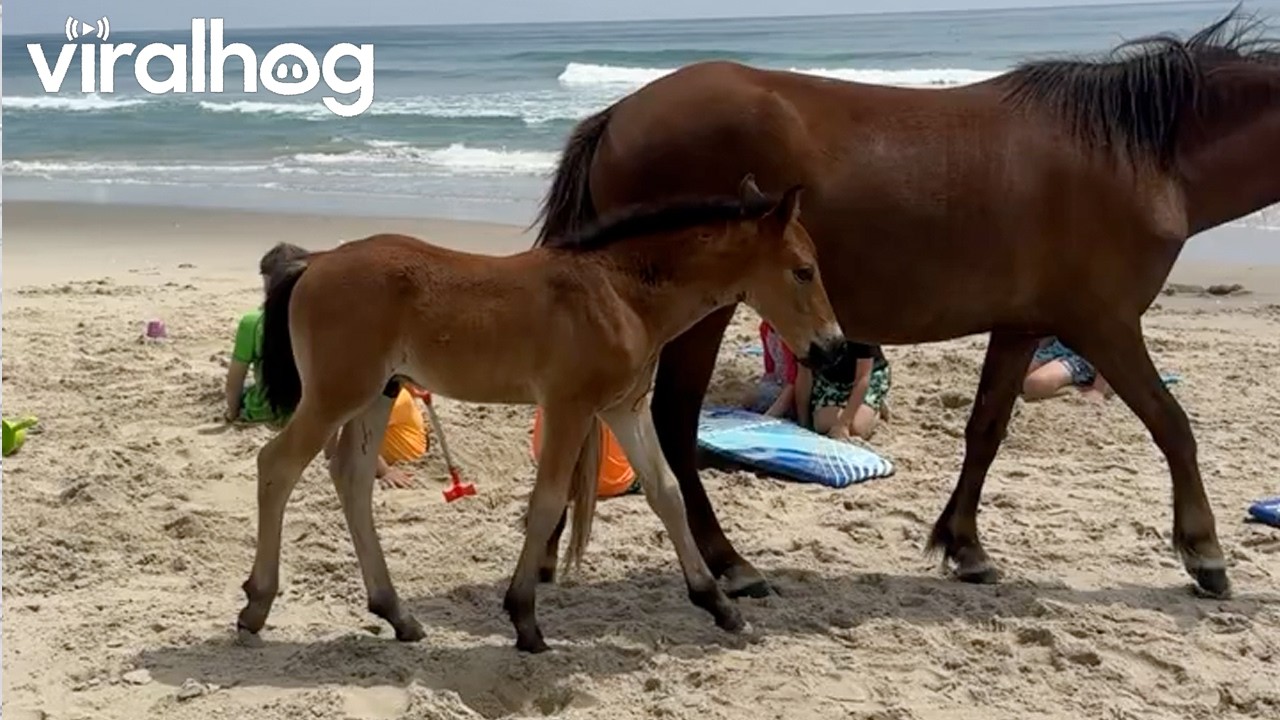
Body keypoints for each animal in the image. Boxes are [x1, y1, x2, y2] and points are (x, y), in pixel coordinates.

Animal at [235, 176, 847, 653]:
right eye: (803, 270)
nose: (834, 348)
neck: (620, 293)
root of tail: (314, 261)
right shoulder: (570, 406)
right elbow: (548, 499)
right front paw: (525, 620)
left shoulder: (624, 409)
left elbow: (666, 492)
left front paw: (719, 604)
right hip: (337, 393)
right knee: (277, 465)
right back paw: (256, 606)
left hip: (377, 395)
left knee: (352, 479)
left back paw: (397, 614)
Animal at [531, 6, 1280, 601]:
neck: (1138, 159)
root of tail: (618, 114)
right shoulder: (1104, 324)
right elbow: (1172, 425)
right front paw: (1204, 553)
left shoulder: (1022, 326)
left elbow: (985, 431)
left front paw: (965, 546)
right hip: (702, 313)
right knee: (674, 422)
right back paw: (732, 565)